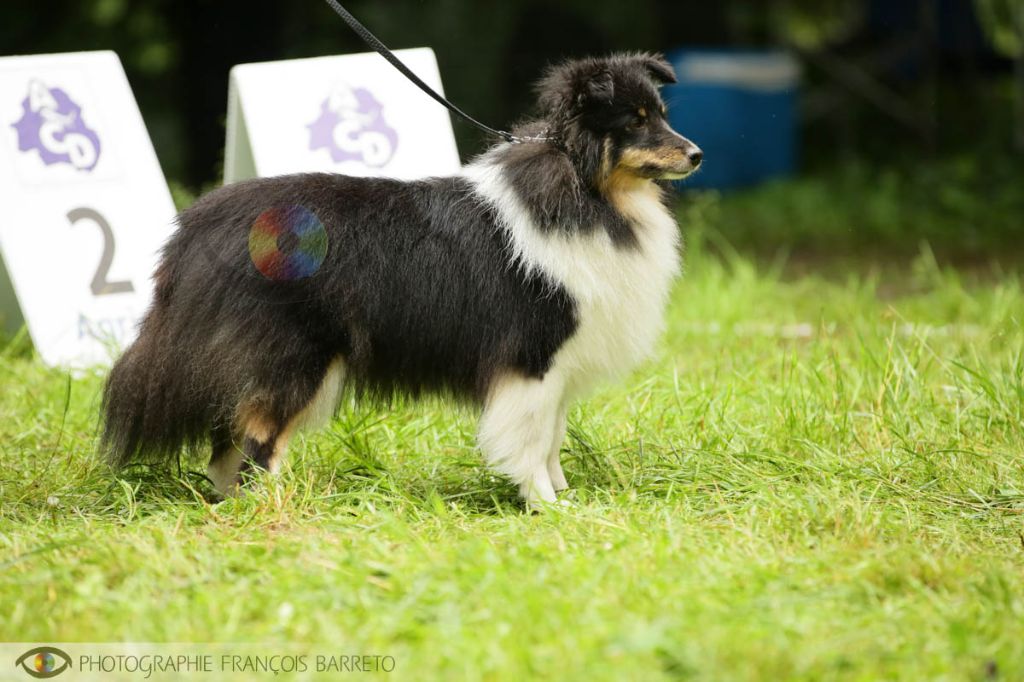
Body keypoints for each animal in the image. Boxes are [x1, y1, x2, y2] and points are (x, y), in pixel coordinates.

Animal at [99, 53, 700, 507]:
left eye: (661, 113)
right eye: (634, 121)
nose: (696, 153)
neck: (587, 189)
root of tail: (197, 226)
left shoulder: (557, 368)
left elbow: (551, 438)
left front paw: (563, 497)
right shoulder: (533, 358)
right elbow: (530, 440)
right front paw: (545, 506)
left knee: (227, 445)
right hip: (295, 358)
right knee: (257, 440)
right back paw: (273, 508)